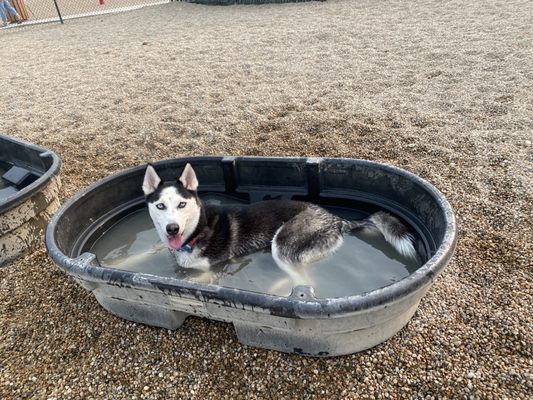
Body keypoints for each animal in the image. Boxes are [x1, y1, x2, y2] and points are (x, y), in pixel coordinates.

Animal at [141, 162, 416, 284]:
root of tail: (335, 218)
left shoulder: (213, 271)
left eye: (182, 205)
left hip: (283, 244)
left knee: (307, 282)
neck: (197, 231)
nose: (172, 228)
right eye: (160, 206)